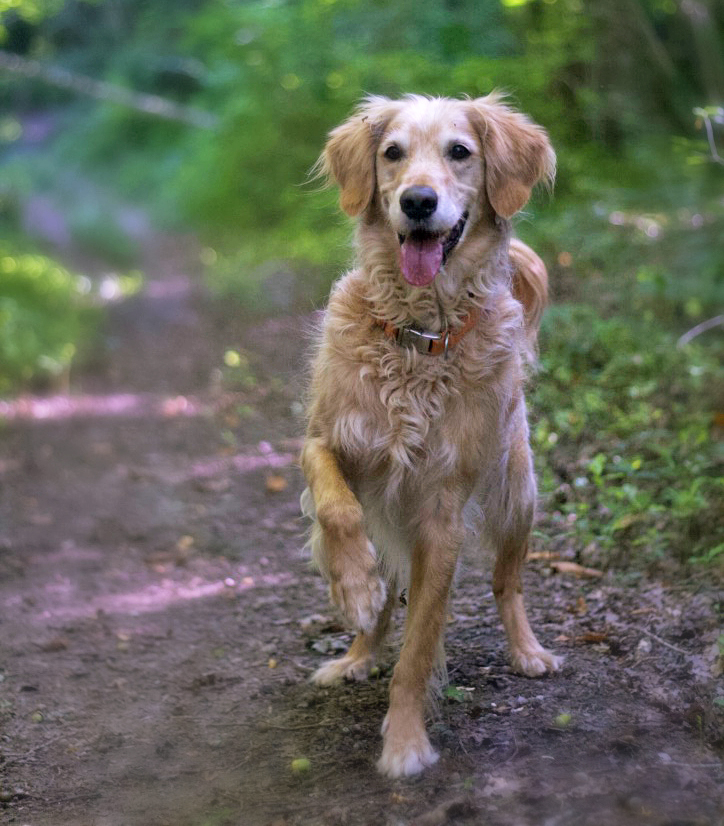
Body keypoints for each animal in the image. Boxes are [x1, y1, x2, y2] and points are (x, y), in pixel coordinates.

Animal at [300, 93, 560, 776]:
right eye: (392, 153)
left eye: (460, 152)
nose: (418, 201)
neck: (417, 334)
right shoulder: (324, 438)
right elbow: (335, 506)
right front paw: (354, 587)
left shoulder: (442, 512)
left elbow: (418, 651)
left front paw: (405, 742)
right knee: (385, 587)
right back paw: (356, 651)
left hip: (517, 494)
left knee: (507, 581)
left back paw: (528, 651)